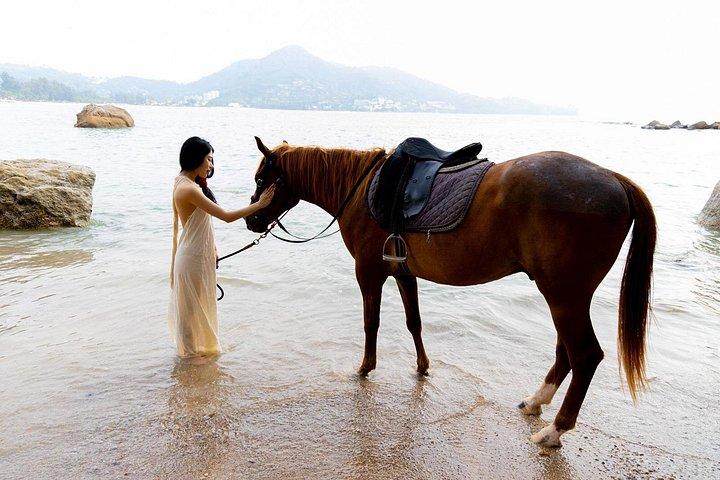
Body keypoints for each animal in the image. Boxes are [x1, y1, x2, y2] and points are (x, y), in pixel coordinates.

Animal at [245, 137, 656, 448]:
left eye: (262, 177)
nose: (252, 220)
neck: (361, 189)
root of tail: (614, 179)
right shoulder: (402, 272)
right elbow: (413, 321)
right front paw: (422, 367)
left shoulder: (369, 273)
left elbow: (371, 324)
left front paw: (365, 368)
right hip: (565, 296)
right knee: (566, 353)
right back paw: (536, 402)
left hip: (564, 296)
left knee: (585, 355)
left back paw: (555, 431)